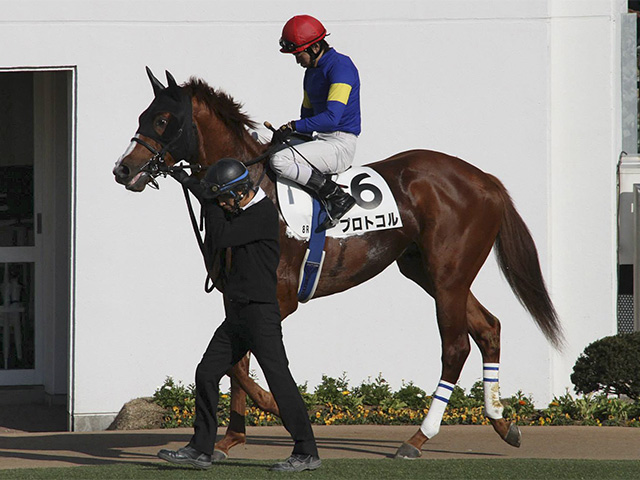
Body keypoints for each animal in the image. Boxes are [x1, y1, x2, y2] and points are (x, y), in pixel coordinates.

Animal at [113, 69, 562, 460]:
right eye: (142, 117)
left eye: (163, 120)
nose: (123, 169)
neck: (248, 190)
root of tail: (484, 179)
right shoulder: (238, 295)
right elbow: (235, 362)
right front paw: (230, 439)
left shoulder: (279, 296)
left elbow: (241, 363)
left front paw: (275, 407)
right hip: (428, 273)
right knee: (488, 328)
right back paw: (502, 422)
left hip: (449, 276)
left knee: (455, 348)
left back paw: (419, 437)